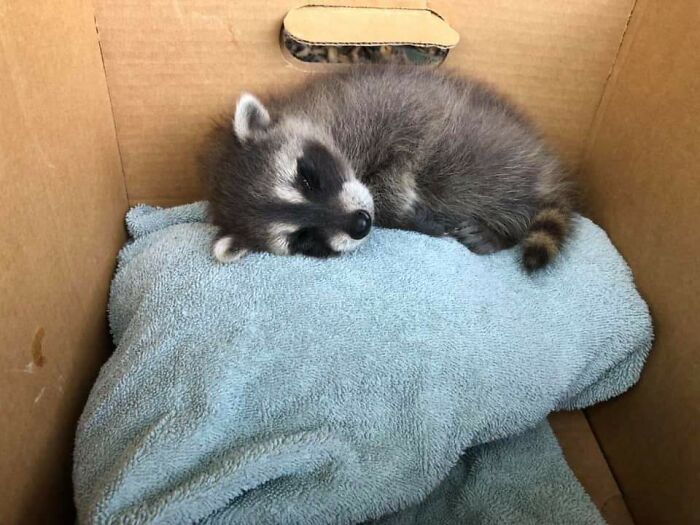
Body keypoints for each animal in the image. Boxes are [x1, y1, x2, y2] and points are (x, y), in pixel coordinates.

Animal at [200, 66, 573, 272]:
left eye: (305, 177)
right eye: (302, 239)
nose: (361, 224)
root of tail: (550, 175)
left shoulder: (383, 105)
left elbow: (415, 140)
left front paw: (395, 201)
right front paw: (400, 214)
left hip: (494, 162)